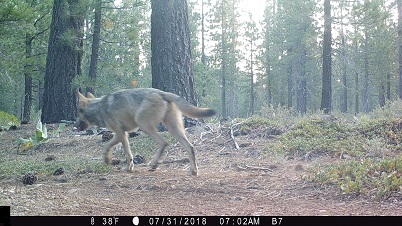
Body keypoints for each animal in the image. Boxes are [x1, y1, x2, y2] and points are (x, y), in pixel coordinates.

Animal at [73, 87, 215, 176]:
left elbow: (115, 149)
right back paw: (193, 171)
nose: (74, 126)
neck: (99, 109)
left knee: (164, 142)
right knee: (190, 147)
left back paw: (154, 164)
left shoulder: (119, 132)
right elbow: (119, 151)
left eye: (77, 113)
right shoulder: (123, 134)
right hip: (173, 129)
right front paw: (122, 165)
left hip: (144, 125)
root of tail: (162, 92)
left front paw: (117, 164)